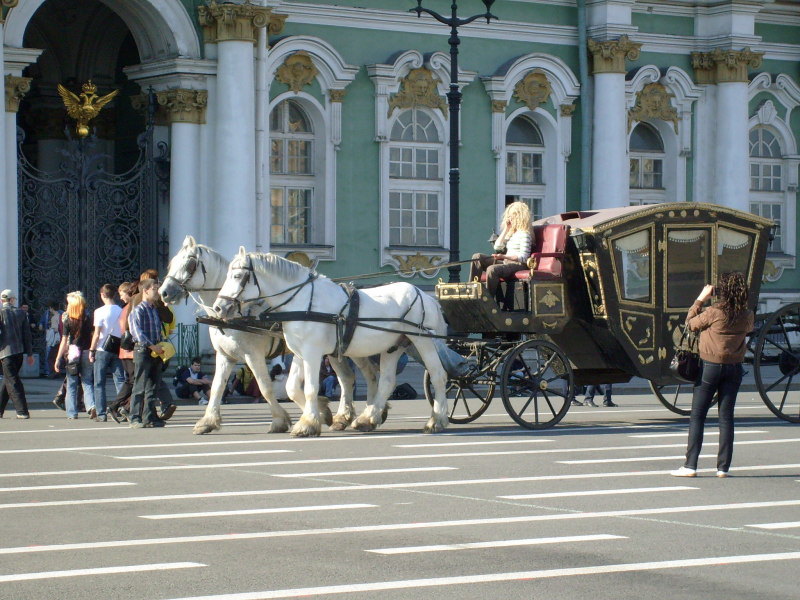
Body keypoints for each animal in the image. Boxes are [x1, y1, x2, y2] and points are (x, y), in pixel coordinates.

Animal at [160, 236, 378, 436]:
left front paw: (282, 420)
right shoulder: (224, 355)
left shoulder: (253, 355)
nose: (164, 293)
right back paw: (346, 417)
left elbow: (266, 387)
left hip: (354, 348)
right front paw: (208, 421)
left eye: (189, 264)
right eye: (172, 262)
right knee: (347, 379)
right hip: (335, 352)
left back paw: (369, 414)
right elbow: (217, 387)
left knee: (369, 375)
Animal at [212, 248, 450, 436]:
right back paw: (367, 418)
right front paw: (322, 414)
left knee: (438, 375)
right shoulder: (299, 353)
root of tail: (424, 295)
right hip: (394, 347)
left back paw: (436, 420)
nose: (219, 308)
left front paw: (308, 424)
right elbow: (291, 388)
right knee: (386, 381)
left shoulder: (312, 353)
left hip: (422, 341)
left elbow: (310, 388)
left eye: (237, 275)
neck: (303, 301)